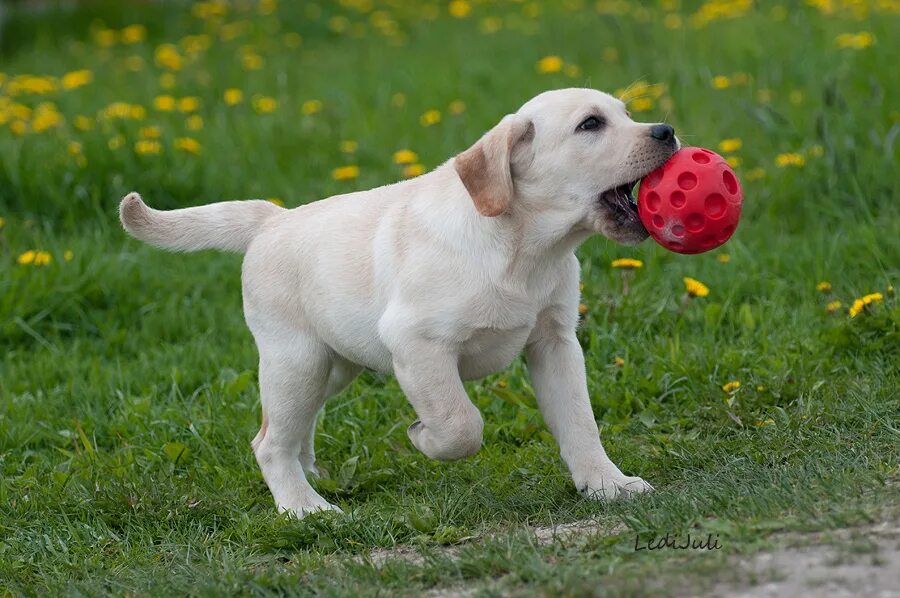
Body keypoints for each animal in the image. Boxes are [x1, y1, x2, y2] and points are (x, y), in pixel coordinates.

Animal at [123, 86, 680, 516]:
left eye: (626, 114)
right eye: (591, 124)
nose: (667, 131)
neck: (524, 249)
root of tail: (272, 219)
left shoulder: (555, 342)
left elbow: (580, 423)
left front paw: (607, 484)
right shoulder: (418, 345)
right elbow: (461, 423)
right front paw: (422, 437)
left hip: (333, 364)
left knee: (293, 426)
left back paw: (310, 477)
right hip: (295, 360)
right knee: (268, 441)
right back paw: (303, 508)